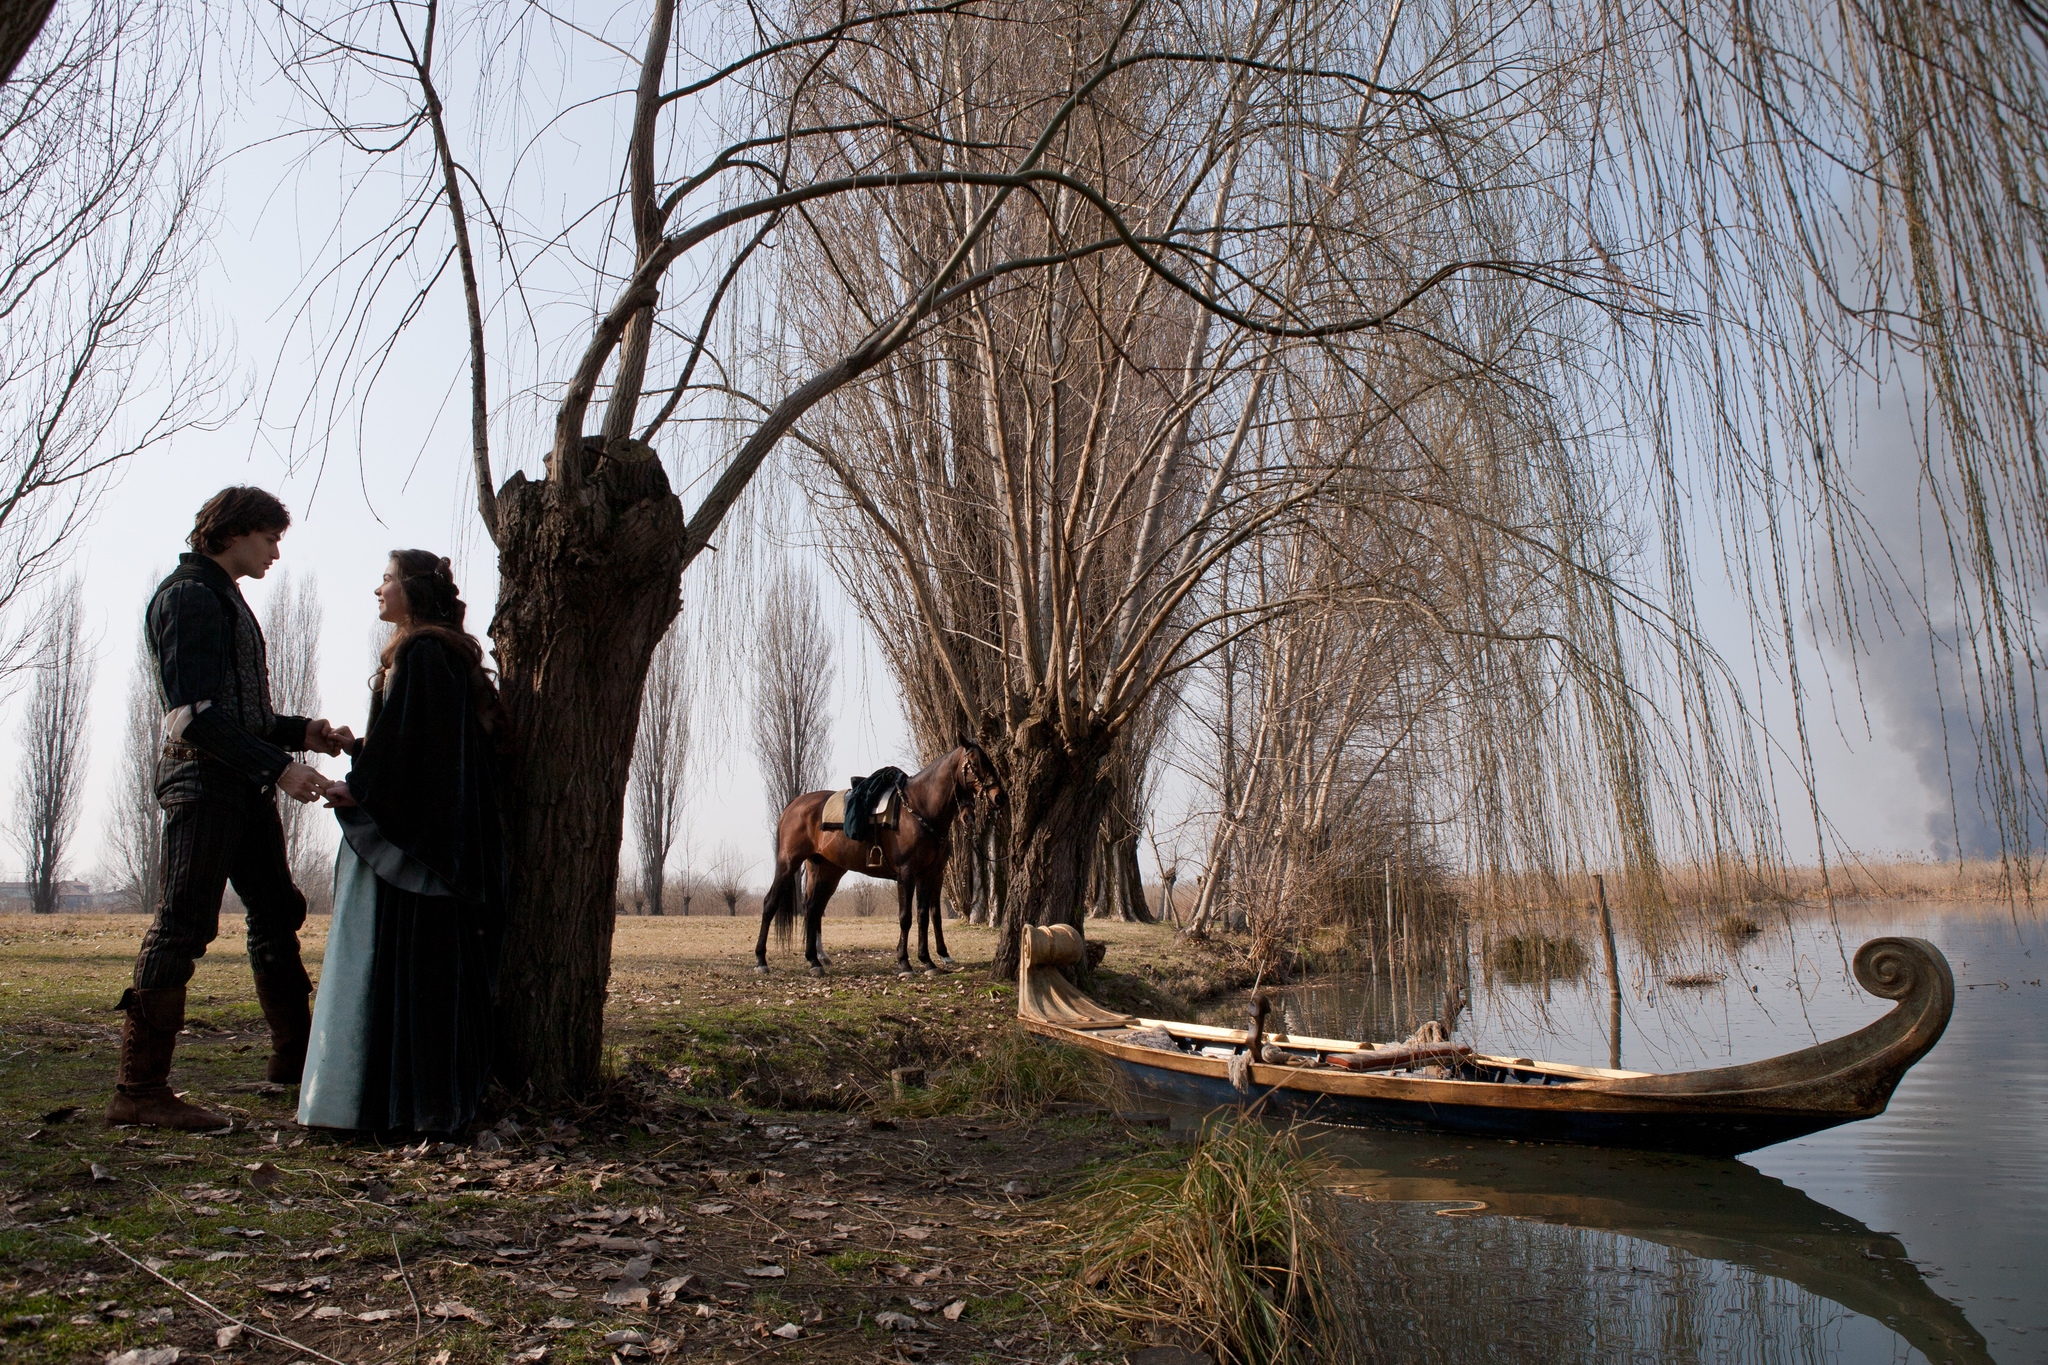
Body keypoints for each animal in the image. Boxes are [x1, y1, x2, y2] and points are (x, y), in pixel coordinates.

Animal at [757, 740, 1003, 978]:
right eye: (975, 762)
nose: (999, 796)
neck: (918, 808)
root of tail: (792, 806)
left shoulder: (928, 874)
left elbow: (925, 915)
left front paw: (928, 961)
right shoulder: (907, 873)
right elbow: (906, 917)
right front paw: (904, 963)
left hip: (827, 872)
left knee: (812, 910)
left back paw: (814, 961)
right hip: (788, 863)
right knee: (771, 903)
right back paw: (761, 960)